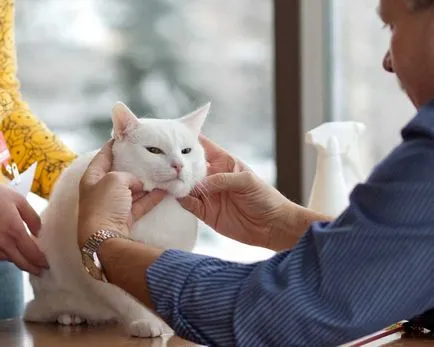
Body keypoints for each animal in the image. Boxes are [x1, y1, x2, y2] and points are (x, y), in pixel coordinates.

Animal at [23, 102, 210, 338]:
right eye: (154, 150)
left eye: (186, 151)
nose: (178, 165)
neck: (160, 210)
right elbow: (128, 300)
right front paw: (145, 322)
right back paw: (70, 316)